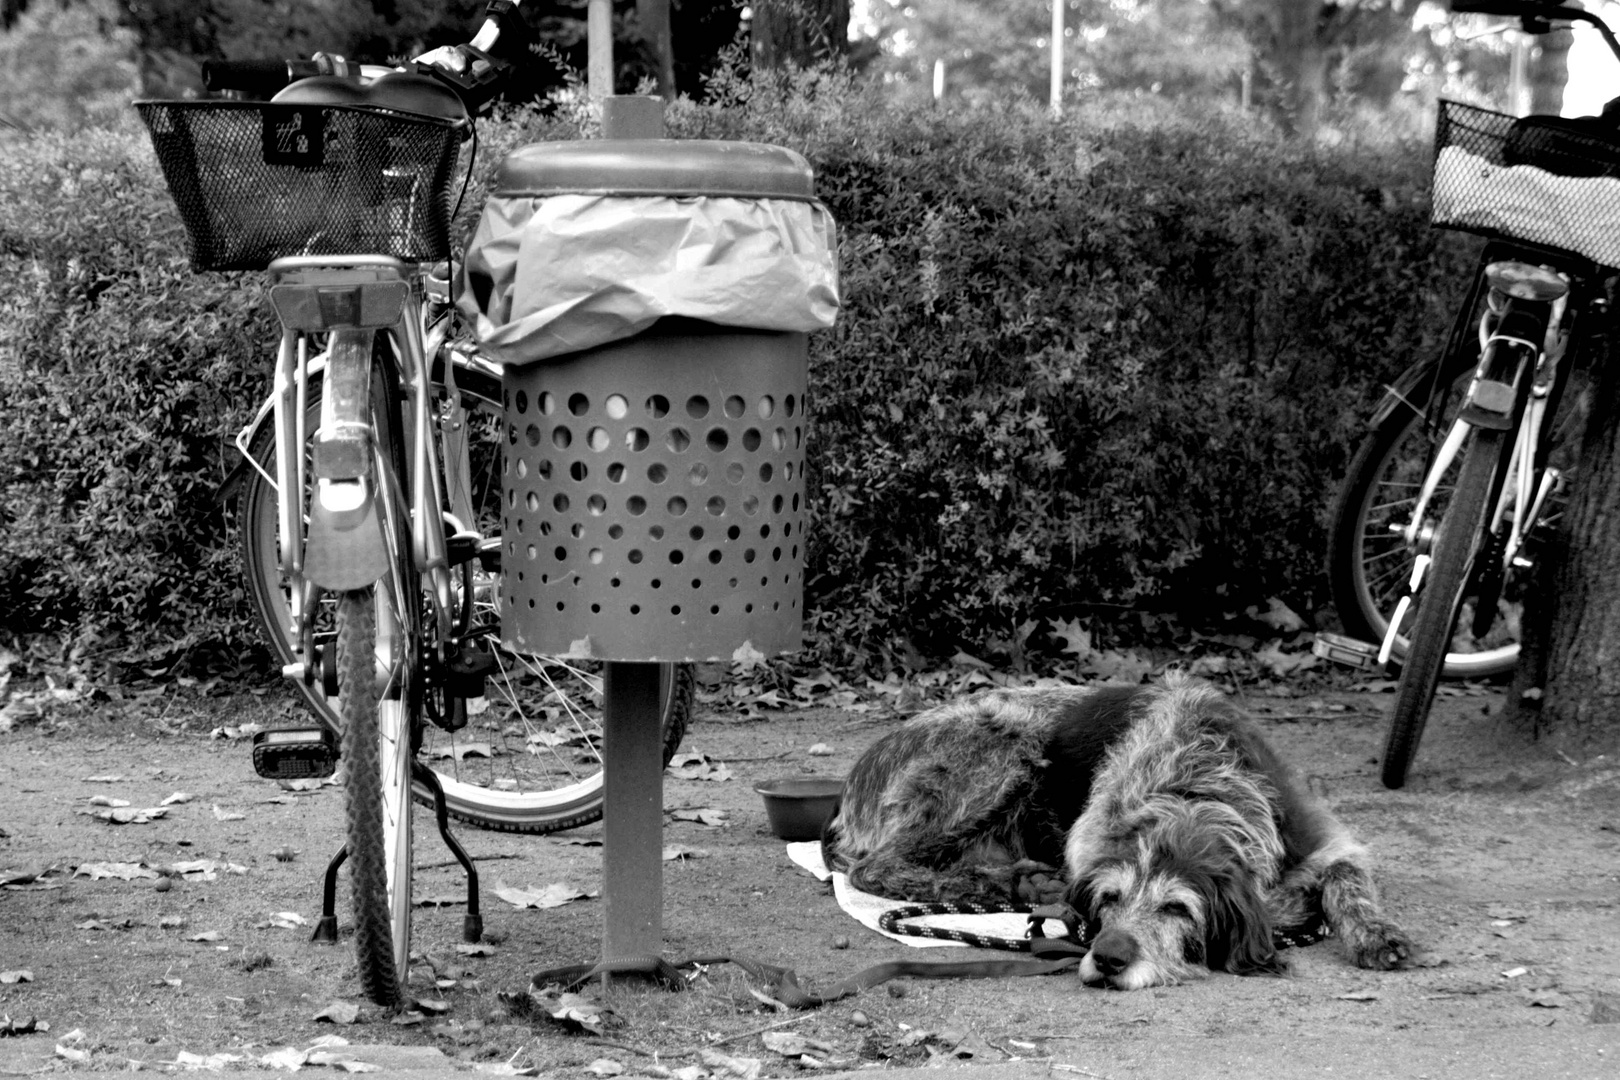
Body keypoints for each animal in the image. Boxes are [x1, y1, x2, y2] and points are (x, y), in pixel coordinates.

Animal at [816, 680, 1412, 990]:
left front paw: (1376, 934)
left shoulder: (1319, 841)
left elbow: (1347, 880)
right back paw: (998, 884)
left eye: (1178, 909)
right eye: (1109, 900)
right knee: (876, 867)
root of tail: (851, 785)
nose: (1109, 958)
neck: (1195, 790)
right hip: (1005, 742)